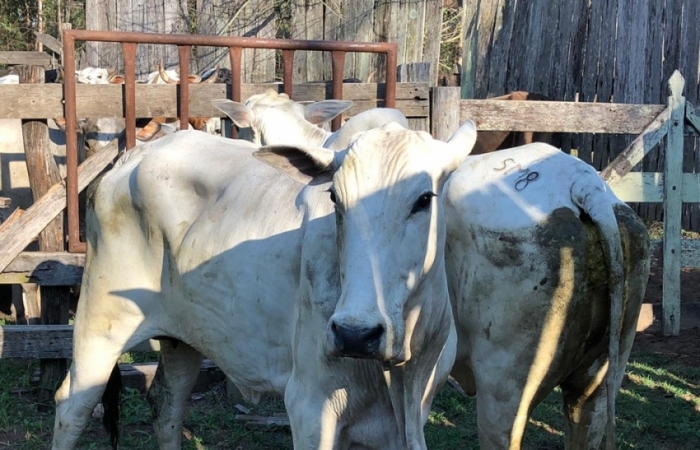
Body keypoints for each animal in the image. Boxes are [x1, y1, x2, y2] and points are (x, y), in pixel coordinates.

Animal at [50, 120, 476, 450]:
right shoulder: (309, 408)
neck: (401, 370)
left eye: (424, 199)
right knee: (73, 405)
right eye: (335, 198)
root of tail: (133, 157)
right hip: (100, 320)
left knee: (167, 406)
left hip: (183, 338)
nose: (355, 333)